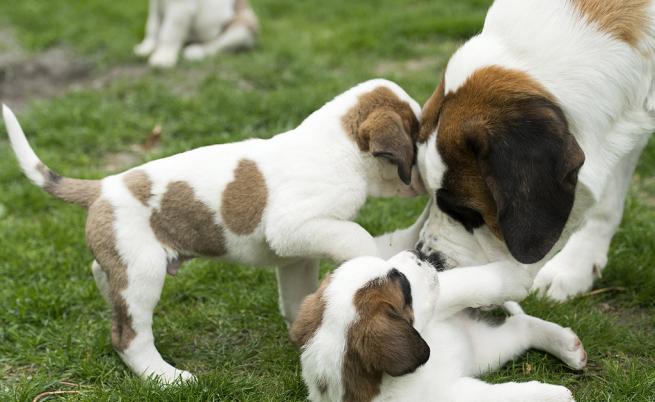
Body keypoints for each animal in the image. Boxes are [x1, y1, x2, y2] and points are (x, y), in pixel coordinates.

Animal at [0, 77, 426, 384]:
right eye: (414, 141)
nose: (427, 180)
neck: (341, 147)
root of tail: (101, 187)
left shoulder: (295, 255)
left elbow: (296, 297)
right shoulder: (294, 225)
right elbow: (357, 236)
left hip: (122, 262)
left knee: (106, 287)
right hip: (143, 273)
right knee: (130, 337)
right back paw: (165, 377)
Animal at [290, 251, 588, 402]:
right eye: (403, 285)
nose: (416, 254)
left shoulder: (436, 303)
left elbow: (470, 282)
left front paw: (511, 275)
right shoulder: (456, 395)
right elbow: (504, 395)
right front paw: (552, 395)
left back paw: (566, 345)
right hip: (488, 349)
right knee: (519, 327)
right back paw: (568, 346)